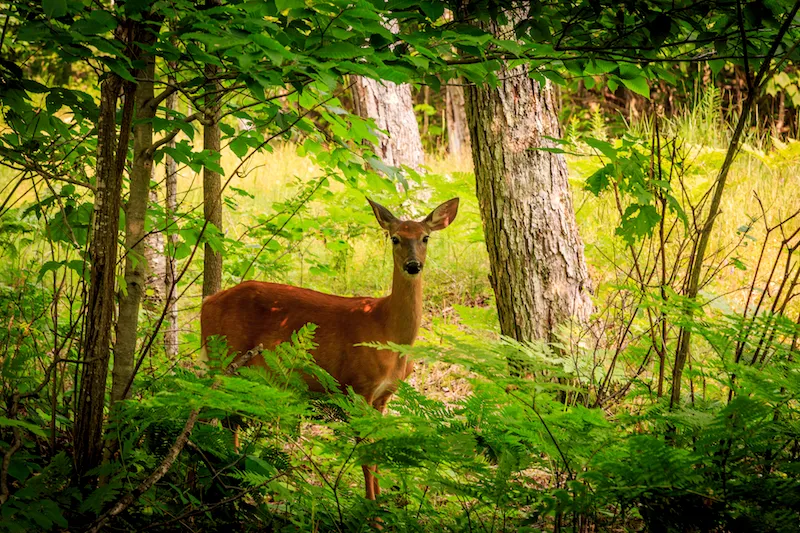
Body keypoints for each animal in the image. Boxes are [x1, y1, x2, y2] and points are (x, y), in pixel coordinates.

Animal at [200, 195, 460, 498]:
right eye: (395, 238)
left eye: (425, 237)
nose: (413, 265)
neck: (387, 331)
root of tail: (208, 302)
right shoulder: (359, 386)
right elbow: (366, 456)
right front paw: (371, 507)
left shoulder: (383, 396)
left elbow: (377, 452)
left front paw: (382, 502)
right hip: (224, 357)